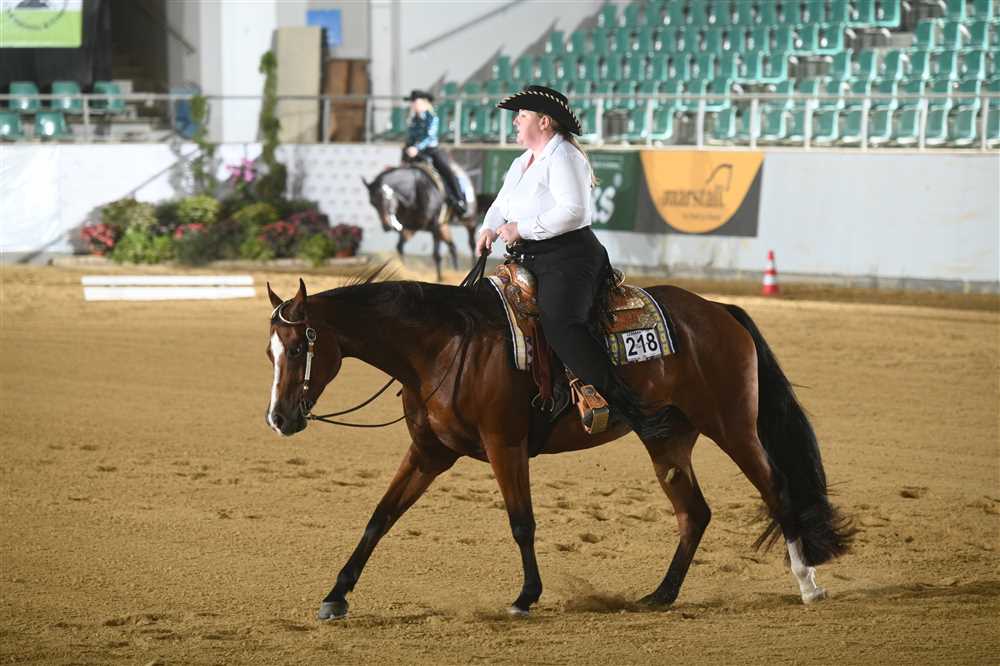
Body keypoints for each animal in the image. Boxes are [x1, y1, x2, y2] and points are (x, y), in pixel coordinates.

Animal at [264, 269, 852, 621]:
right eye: (269, 351)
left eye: (296, 347)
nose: (279, 418)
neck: (446, 346)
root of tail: (719, 310)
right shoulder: (430, 453)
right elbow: (380, 517)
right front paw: (336, 596)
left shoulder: (505, 444)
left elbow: (521, 522)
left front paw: (526, 597)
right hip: (668, 439)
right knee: (694, 512)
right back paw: (660, 595)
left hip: (732, 425)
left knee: (777, 491)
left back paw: (807, 584)